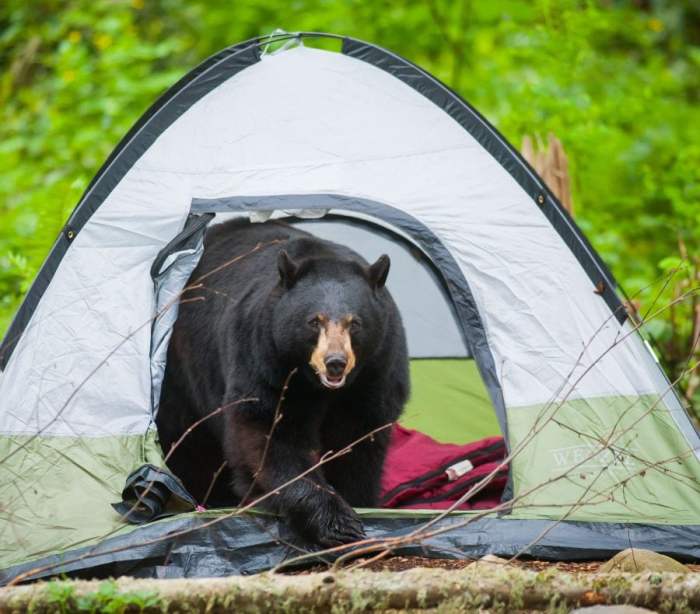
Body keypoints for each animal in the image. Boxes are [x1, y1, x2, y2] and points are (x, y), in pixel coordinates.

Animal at [157, 219, 410, 548]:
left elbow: (358, 444)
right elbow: (268, 434)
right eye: (314, 321)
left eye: (354, 323)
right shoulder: (263, 355)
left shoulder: (376, 371)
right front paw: (338, 522)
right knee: (187, 441)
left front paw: (360, 504)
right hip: (182, 374)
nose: (335, 362)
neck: (317, 385)